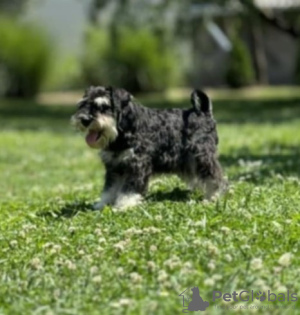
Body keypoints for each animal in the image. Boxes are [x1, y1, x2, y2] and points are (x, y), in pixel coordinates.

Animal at [70, 86, 225, 211]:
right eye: (82, 104)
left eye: (104, 106)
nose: (84, 120)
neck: (124, 129)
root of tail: (204, 113)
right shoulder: (114, 167)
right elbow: (110, 188)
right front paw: (103, 203)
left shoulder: (138, 165)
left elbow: (130, 188)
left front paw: (124, 204)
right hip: (189, 161)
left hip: (202, 156)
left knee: (215, 176)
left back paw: (214, 195)